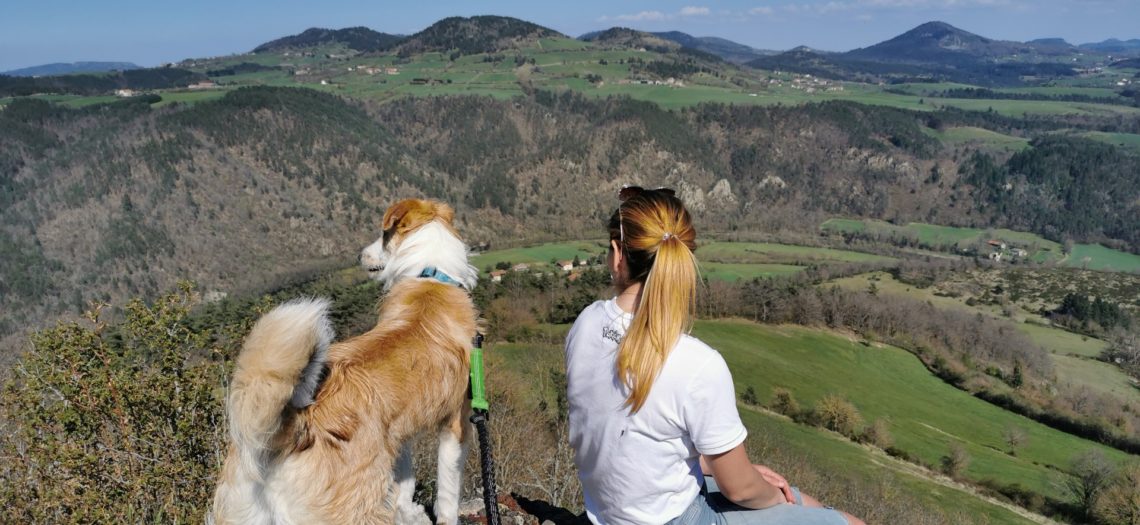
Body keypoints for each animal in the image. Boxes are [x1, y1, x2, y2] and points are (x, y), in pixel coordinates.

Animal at [212, 197, 478, 523]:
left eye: (383, 234)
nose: (359, 255)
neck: (430, 274)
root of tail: (291, 428)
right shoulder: (456, 423)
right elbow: (448, 492)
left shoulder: (396, 433)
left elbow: (405, 480)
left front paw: (408, 511)